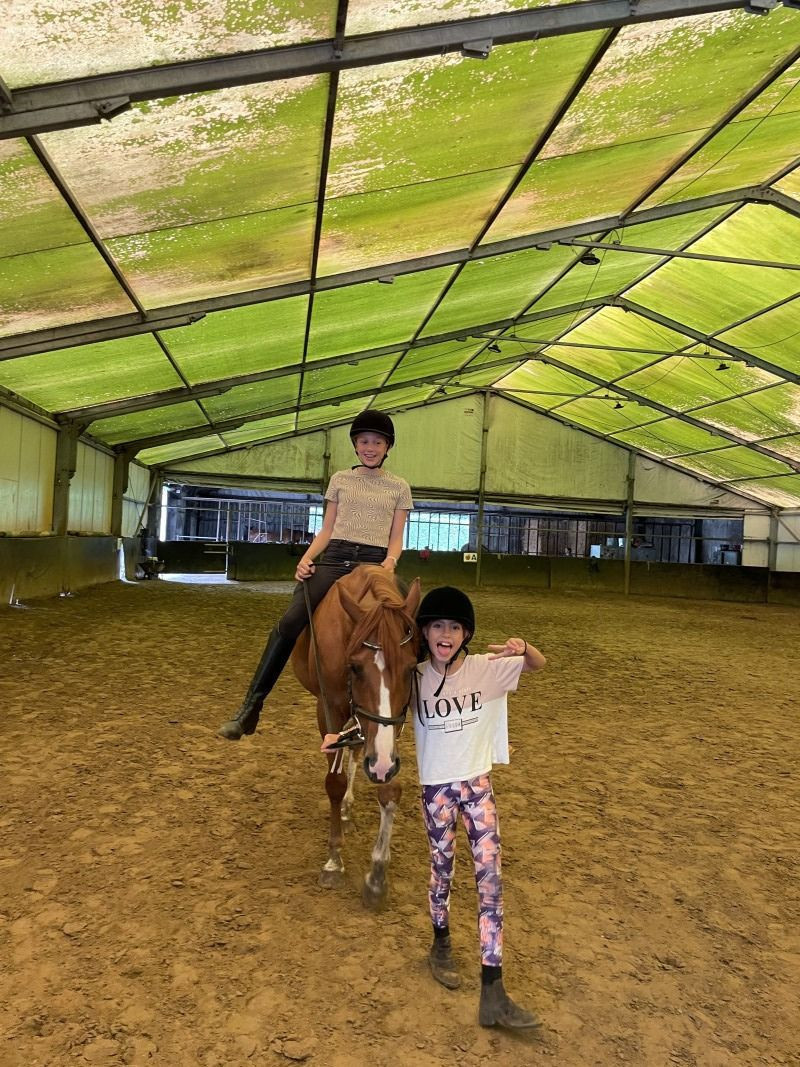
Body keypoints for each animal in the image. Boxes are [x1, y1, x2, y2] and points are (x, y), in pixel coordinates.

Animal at [292, 565, 421, 906]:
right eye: (356, 667)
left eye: (411, 668)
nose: (381, 765)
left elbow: (389, 788)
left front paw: (377, 876)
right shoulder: (328, 709)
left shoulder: (390, 727)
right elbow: (334, 782)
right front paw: (333, 862)